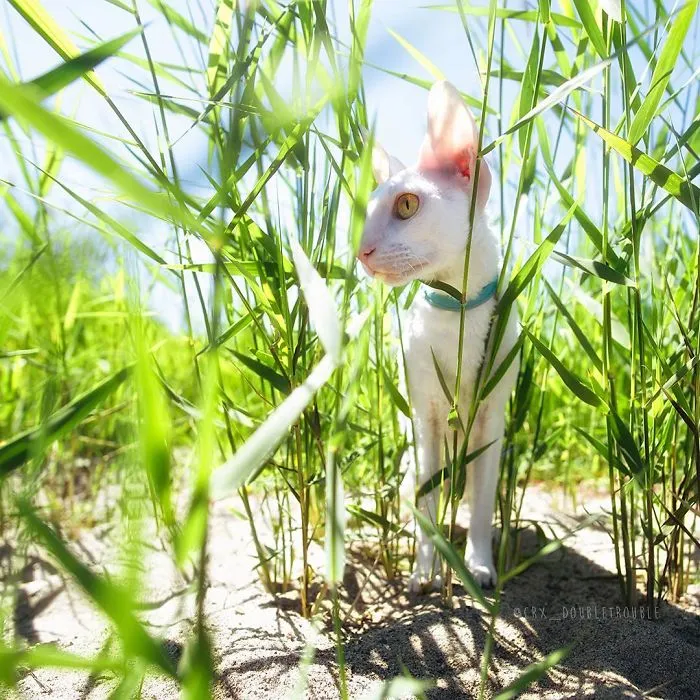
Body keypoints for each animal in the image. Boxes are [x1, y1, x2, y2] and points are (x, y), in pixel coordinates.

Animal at [357, 81, 519, 592]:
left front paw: (480, 566)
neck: (456, 313)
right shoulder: (424, 416)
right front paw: (425, 571)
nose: (361, 252)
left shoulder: (491, 417)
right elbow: (427, 506)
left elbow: (483, 505)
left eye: (407, 205)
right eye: (364, 214)